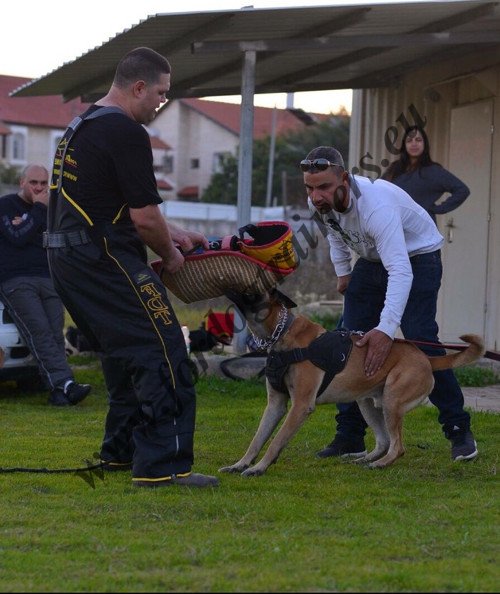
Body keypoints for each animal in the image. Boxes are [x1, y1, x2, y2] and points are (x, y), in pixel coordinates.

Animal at [220, 290, 484, 474]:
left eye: (252, 289)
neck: (281, 333)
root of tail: (426, 358)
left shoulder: (300, 406)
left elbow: (275, 441)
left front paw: (259, 468)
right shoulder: (275, 404)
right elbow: (257, 439)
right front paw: (241, 464)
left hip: (392, 401)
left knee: (397, 446)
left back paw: (380, 464)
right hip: (367, 403)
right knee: (384, 441)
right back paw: (366, 459)